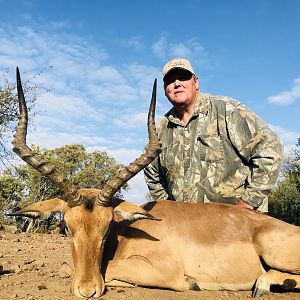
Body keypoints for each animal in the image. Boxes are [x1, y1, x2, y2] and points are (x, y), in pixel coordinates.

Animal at [9, 68, 300, 298]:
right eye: (67, 228)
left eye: (106, 227)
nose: (88, 290)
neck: (127, 235)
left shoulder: (164, 272)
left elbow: (109, 268)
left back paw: (263, 284)